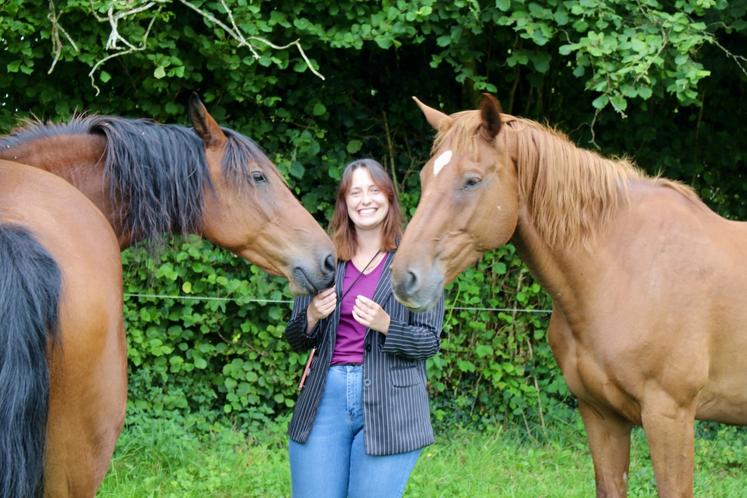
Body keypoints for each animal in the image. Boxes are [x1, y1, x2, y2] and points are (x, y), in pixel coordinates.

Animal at [392, 94, 747, 498]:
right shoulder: (601, 414)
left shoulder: (670, 415)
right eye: (425, 178)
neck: (627, 272)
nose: (404, 277)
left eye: (472, 181)